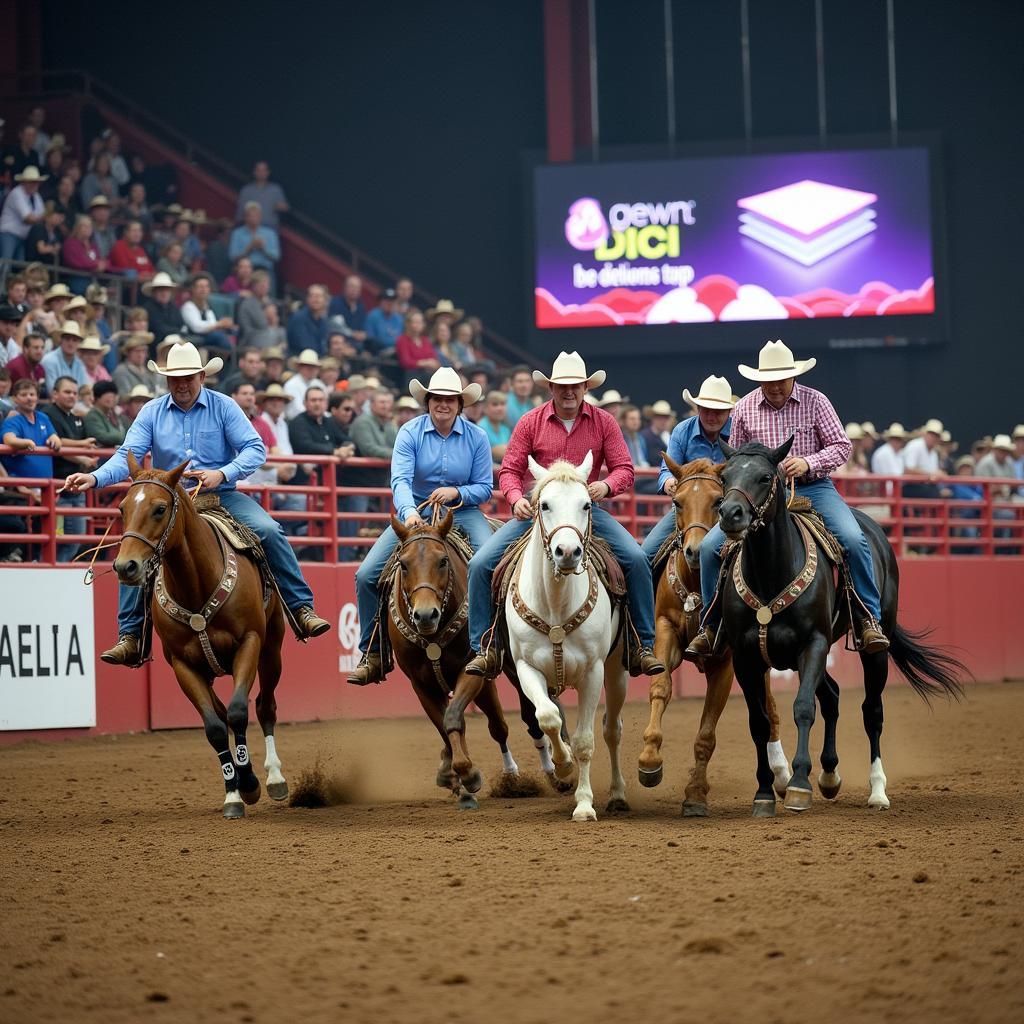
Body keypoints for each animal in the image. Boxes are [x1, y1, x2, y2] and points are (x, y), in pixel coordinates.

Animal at [113, 452, 286, 819]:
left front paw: (250, 782)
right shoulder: (183, 665)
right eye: (122, 508)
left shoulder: (249, 644)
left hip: (272, 651)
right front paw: (234, 792)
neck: (196, 584)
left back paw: (275, 777)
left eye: (159, 508)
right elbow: (216, 727)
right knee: (222, 714)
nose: (125, 567)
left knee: (265, 707)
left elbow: (239, 712)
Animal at [387, 503, 524, 806]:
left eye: (443, 561)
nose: (425, 615)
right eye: (403, 564)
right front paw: (453, 774)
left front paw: (467, 773)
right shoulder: (421, 684)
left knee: (514, 718)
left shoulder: (472, 670)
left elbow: (455, 718)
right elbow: (444, 725)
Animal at [505, 452, 626, 819]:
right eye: (544, 504)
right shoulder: (525, 668)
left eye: (587, 504)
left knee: (612, 730)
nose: (568, 552)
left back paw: (618, 794)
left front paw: (584, 804)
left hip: (616, 671)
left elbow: (586, 741)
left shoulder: (593, 672)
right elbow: (547, 718)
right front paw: (562, 766)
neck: (556, 605)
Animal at [638, 456, 790, 815]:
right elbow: (661, 688)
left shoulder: (727, 662)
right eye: (677, 502)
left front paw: (695, 793)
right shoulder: (665, 630)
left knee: (771, 709)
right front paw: (649, 759)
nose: (694, 551)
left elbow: (707, 733)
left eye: (717, 501)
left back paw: (781, 775)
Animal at [716, 438, 962, 815]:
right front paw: (764, 793)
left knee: (871, 710)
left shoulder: (814, 643)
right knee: (831, 695)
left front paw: (799, 785)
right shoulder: (746, 657)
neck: (772, 574)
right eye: (724, 475)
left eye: (765, 476)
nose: (730, 513)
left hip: (873, 649)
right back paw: (830, 775)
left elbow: (804, 708)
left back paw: (877, 791)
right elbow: (759, 722)